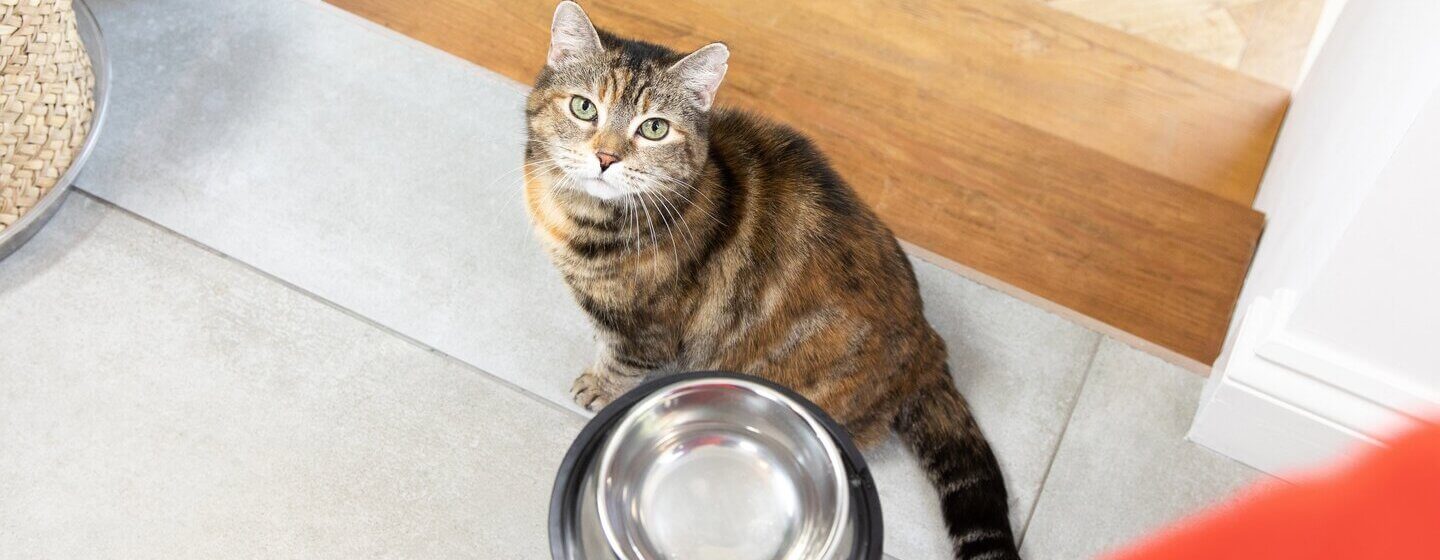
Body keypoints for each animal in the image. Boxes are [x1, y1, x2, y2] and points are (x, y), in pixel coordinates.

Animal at [524, 2, 1019, 555]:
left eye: (653, 129)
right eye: (584, 108)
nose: (606, 157)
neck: (579, 217)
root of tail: (929, 346)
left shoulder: (647, 330)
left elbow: (622, 361)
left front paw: (598, 385)